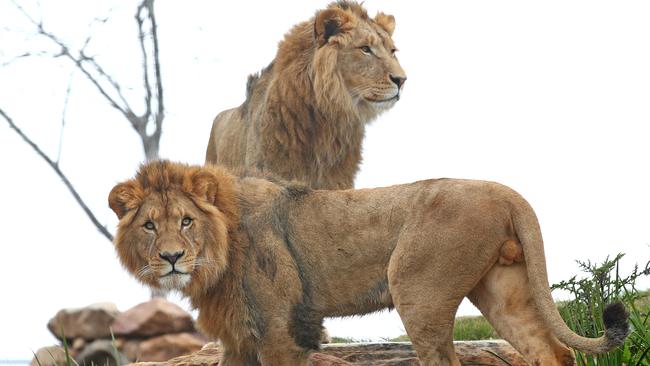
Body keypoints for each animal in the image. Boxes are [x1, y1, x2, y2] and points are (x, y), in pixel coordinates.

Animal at [110, 161, 628, 366]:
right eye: (149, 226)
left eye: (186, 221)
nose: (172, 258)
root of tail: (507, 192)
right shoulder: (239, 337)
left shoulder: (281, 330)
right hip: (503, 291)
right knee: (551, 352)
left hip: (417, 290)